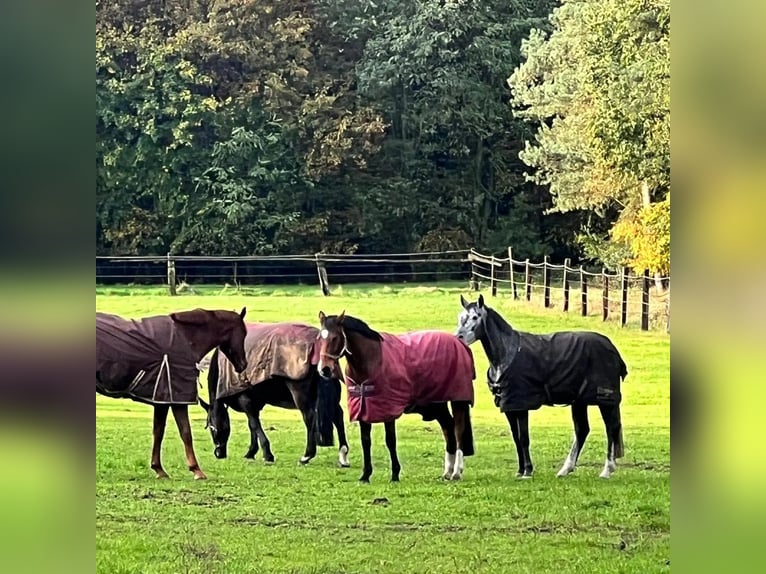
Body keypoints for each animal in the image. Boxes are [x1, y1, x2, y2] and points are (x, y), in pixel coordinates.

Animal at [94, 310, 248, 482]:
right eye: (243, 333)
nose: (243, 364)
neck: (186, 337)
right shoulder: (177, 400)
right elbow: (186, 433)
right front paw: (196, 470)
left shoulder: (161, 400)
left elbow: (158, 432)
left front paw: (159, 469)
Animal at [200, 324, 352, 468]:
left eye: (211, 427)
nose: (219, 453)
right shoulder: (255, 402)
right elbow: (252, 424)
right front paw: (251, 452)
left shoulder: (245, 399)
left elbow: (254, 424)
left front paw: (267, 454)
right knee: (338, 416)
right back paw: (343, 456)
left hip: (301, 395)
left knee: (309, 417)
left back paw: (307, 455)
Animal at [316, 312, 474, 484]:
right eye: (320, 338)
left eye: (335, 338)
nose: (324, 369)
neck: (371, 360)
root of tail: (459, 343)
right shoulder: (363, 409)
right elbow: (366, 441)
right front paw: (366, 475)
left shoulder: (388, 410)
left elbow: (390, 440)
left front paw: (395, 474)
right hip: (438, 403)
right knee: (448, 428)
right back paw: (447, 471)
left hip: (458, 401)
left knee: (458, 431)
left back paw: (456, 472)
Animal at [456, 296, 632, 482]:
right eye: (461, 316)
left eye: (475, 317)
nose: (458, 337)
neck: (507, 355)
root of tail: (612, 349)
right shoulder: (509, 406)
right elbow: (516, 438)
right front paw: (520, 470)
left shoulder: (521, 405)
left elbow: (523, 438)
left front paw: (527, 471)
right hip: (579, 401)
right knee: (582, 430)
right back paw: (565, 469)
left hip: (605, 400)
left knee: (611, 428)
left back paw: (607, 470)